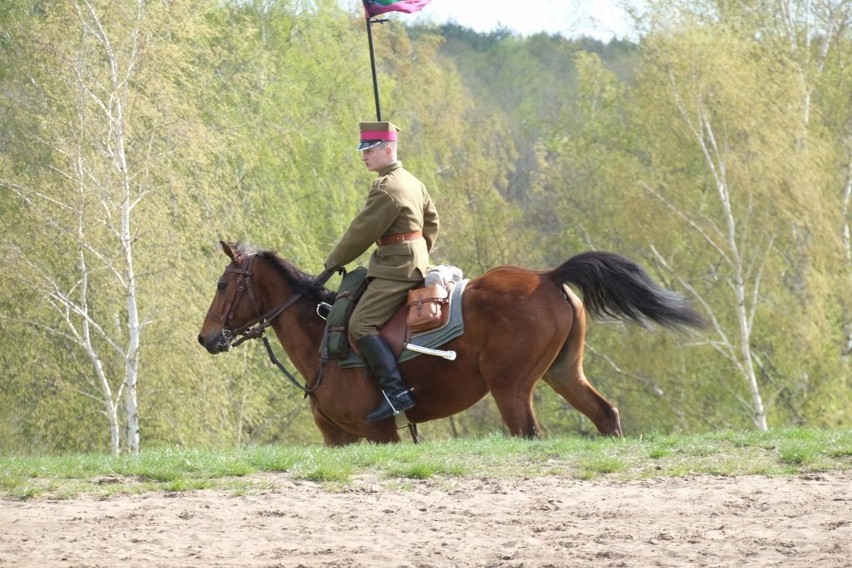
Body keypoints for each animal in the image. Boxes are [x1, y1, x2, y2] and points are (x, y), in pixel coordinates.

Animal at [196, 242, 704, 446]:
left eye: (223, 284)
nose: (206, 338)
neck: (325, 338)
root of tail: (546, 276)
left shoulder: (382, 434)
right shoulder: (337, 437)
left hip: (511, 388)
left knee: (530, 433)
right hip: (564, 374)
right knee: (604, 415)